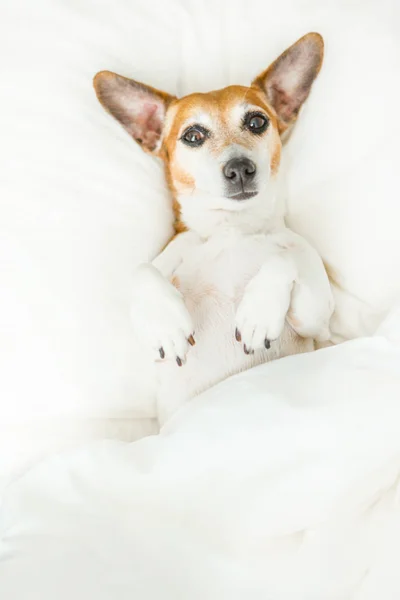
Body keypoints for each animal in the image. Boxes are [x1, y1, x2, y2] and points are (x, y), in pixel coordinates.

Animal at [94, 34, 334, 426]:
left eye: (257, 121)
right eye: (192, 136)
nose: (239, 168)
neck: (230, 227)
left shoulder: (316, 320)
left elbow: (284, 260)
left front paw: (258, 313)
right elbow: (141, 271)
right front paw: (167, 324)